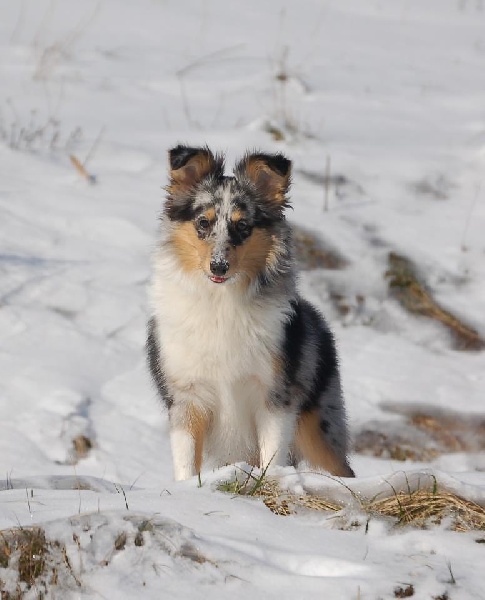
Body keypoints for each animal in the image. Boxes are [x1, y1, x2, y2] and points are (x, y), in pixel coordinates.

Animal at [146, 146, 354, 482]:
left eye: (243, 226)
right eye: (203, 223)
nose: (218, 267)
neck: (220, 302)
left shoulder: (275, 397)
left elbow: (272, 455)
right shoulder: (187, 397)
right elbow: (187, 463)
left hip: (318, 429)